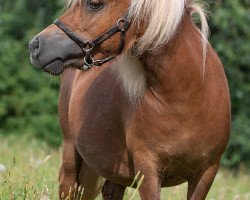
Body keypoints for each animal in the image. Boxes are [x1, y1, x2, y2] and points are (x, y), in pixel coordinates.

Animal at [28, 0, 229, 200]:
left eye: (94, 4)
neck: (186, 98)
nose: (35, 45)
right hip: (70, 155)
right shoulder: (147, 169)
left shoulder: (206, 172)